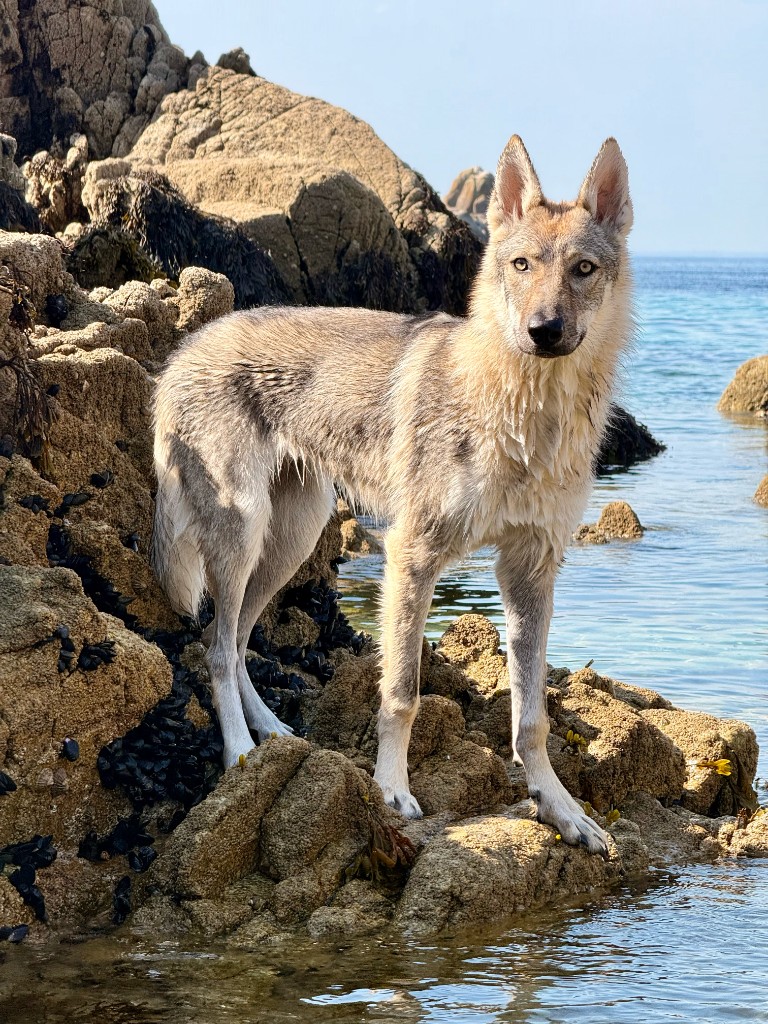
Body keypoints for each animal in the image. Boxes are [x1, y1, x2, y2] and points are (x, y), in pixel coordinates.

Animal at [152, 136, 633, 856]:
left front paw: (562, 810)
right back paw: (239, 754)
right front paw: (392, 790)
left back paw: (272, 736)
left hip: (291, 538)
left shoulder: (531, 571)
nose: (543, 330)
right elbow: (401, 692)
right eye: (520, 265)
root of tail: (184, 347)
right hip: (244, 535)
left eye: (583, 269)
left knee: (233, 642)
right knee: (212, 648)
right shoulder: (414, 556)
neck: (527, 413)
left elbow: (532, 719)